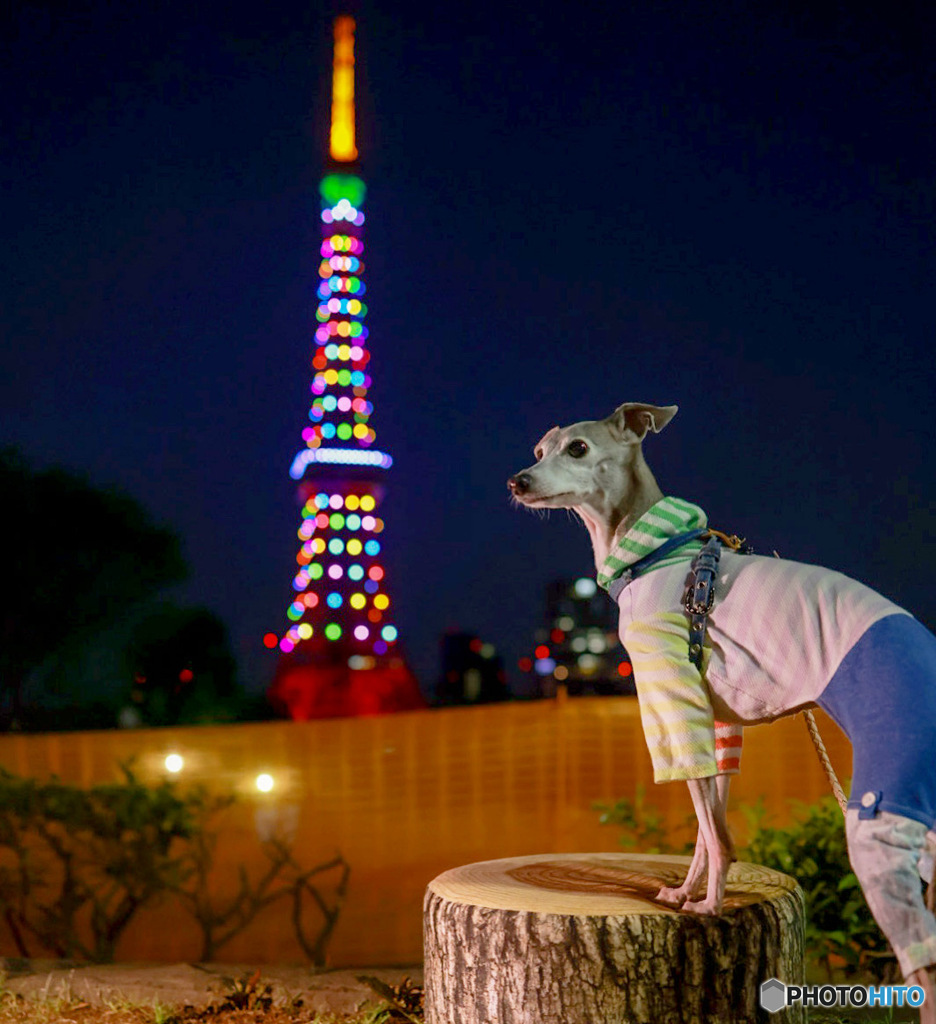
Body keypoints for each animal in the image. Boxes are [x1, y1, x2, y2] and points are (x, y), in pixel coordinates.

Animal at [509, 399, 933, 1015]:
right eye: (540, 450)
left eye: (579, 448)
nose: (517, 482)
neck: (658, 554)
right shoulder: (719, 724)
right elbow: (709, 829)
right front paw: (687, 891)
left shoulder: (673, 705)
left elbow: (716, 833)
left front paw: (708, 907)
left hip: (882, 808)